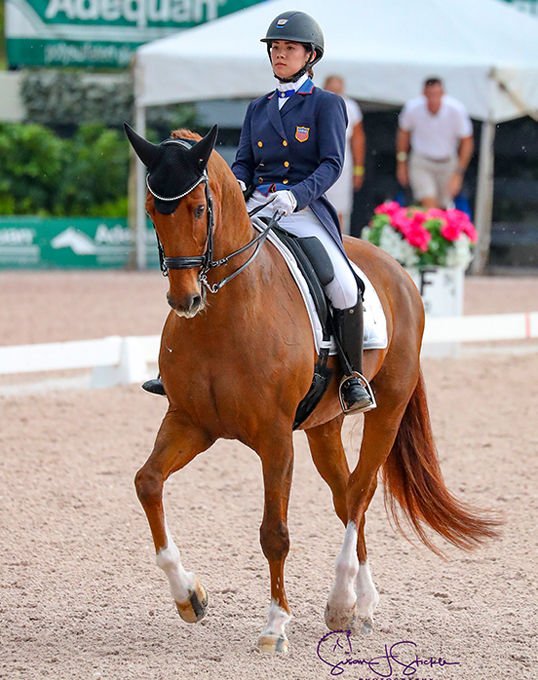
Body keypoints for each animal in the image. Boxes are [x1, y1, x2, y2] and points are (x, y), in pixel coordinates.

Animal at [127, 126, 496, 652]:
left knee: (360, 492)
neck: (226, 312)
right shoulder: (191, 422)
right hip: (324, 427)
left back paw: (341, 601)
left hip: (386, 411)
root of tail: (400, 271)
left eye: (198, 208)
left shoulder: (275, 437)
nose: (185, 299)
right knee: (346, 498)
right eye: (153, 210)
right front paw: (189, 597)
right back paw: (362, 605)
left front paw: (275, 627)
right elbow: (148, 483)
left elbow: (274, 533)